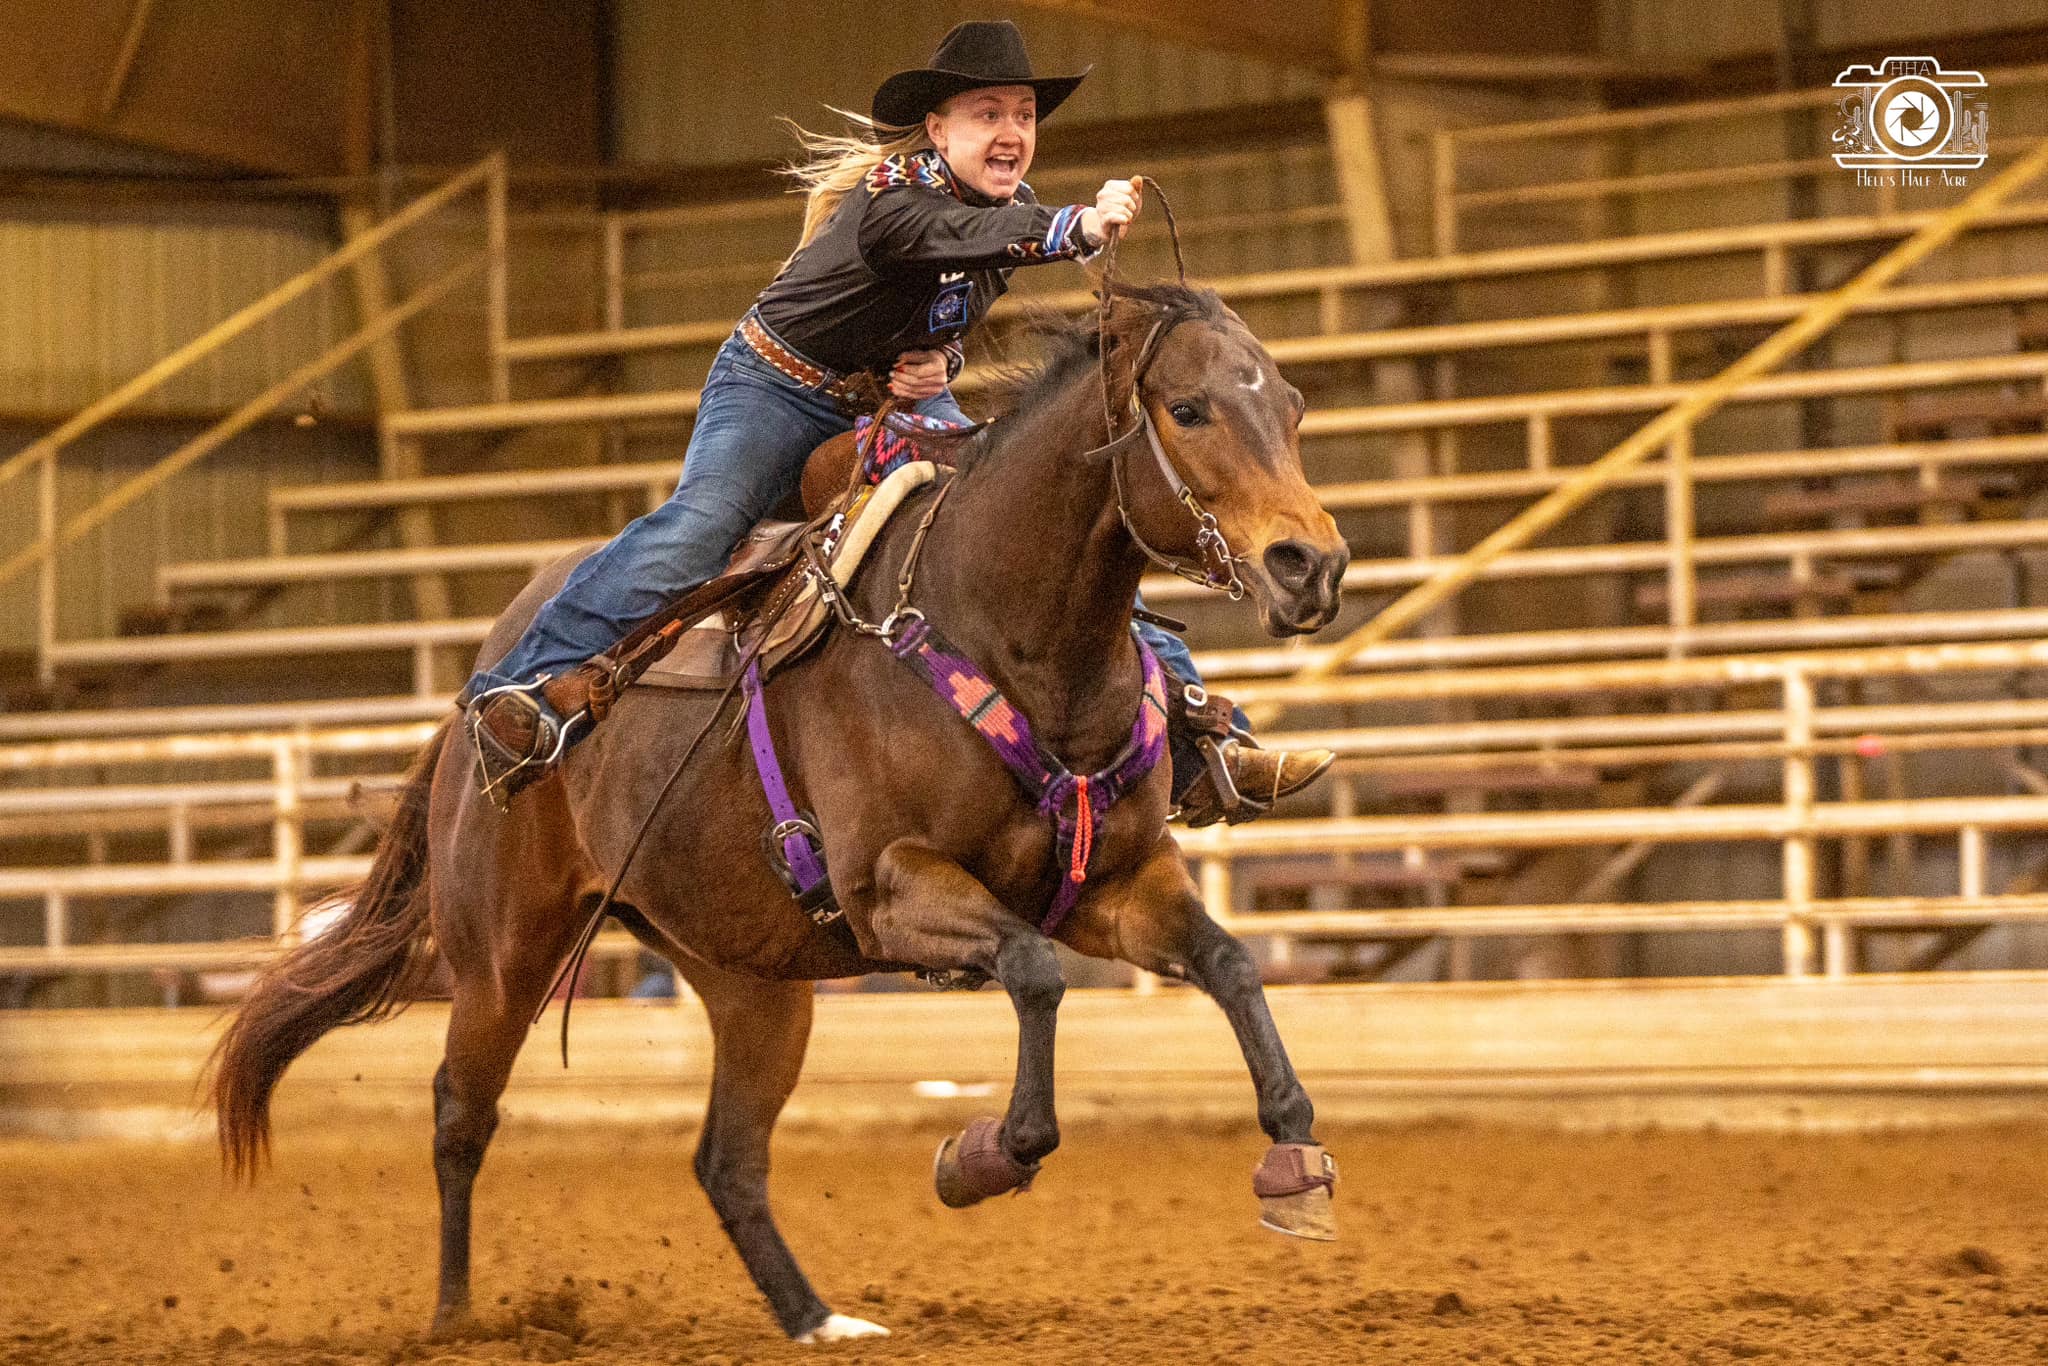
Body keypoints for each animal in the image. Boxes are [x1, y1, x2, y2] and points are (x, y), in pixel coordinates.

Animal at [210, 279, 1351, 1344]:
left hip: (751, 980)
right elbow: (1032, 971)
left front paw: (1296, 1158)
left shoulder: (1115, 884)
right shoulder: (891, 884)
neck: (1008, 634)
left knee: (727, 1158)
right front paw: (982, 1155)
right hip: (502, 953)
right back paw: (454, 1318)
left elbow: (1228, 963)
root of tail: (475, 702)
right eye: (1189, 408)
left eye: (1294, 406)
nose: (1313, 565)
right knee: (461, 1114)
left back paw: (817, 1319)